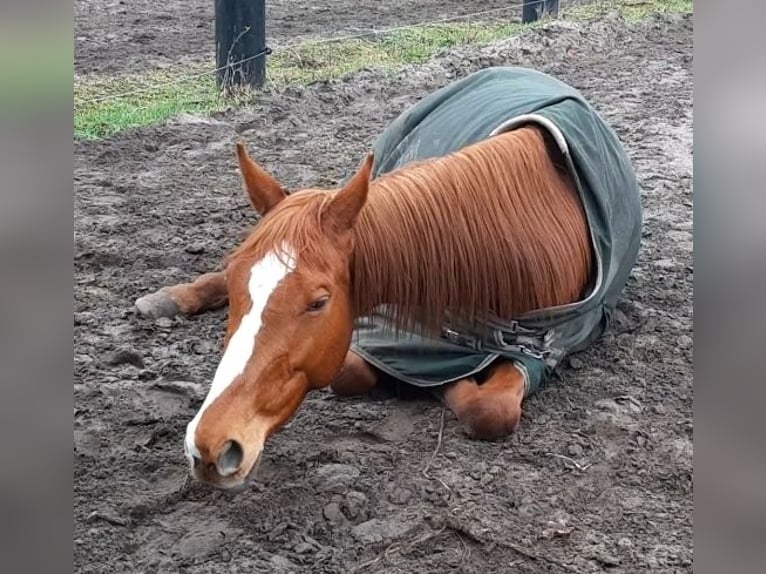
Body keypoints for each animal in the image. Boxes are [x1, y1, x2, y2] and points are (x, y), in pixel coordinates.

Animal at [134, 67, 640, 490]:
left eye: (318, 301)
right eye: (242, 283)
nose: (208, 447)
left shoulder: (545, 350)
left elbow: (488, 410)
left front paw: (451, 386)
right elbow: (350, 371)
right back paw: (171, 297)